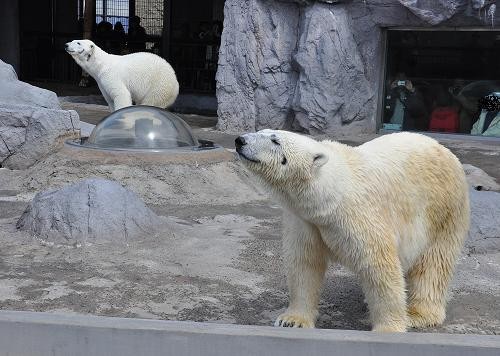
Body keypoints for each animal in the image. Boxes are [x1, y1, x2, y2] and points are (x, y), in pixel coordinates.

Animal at [234, 129, 468, 332]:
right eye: (261, 131)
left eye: (275, 140)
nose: (240, 140)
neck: (332, 193)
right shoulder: (305, 221)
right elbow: (305, 263)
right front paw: (292, 320)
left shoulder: (359, 214)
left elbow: (379, 266)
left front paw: (388, 328)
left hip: (442, 212)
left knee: (433, 265)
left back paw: (417, 314)